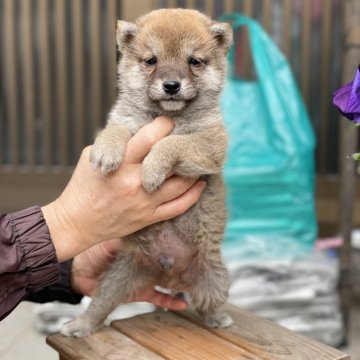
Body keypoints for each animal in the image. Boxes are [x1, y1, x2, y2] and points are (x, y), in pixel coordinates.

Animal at [59, 7, 233, 336]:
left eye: (194, 61)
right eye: (152, 60)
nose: (171, 85)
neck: (167, 115)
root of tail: (168, 274)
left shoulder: (209, 145)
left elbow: (172, 143)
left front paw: (152, 169)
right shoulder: (125, 122)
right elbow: (114, 130)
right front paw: (106, 152)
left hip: (214, 279)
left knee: (209, 303)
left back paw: (219, 318)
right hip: (116, 279)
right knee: (100, 305)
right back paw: (81, 323)